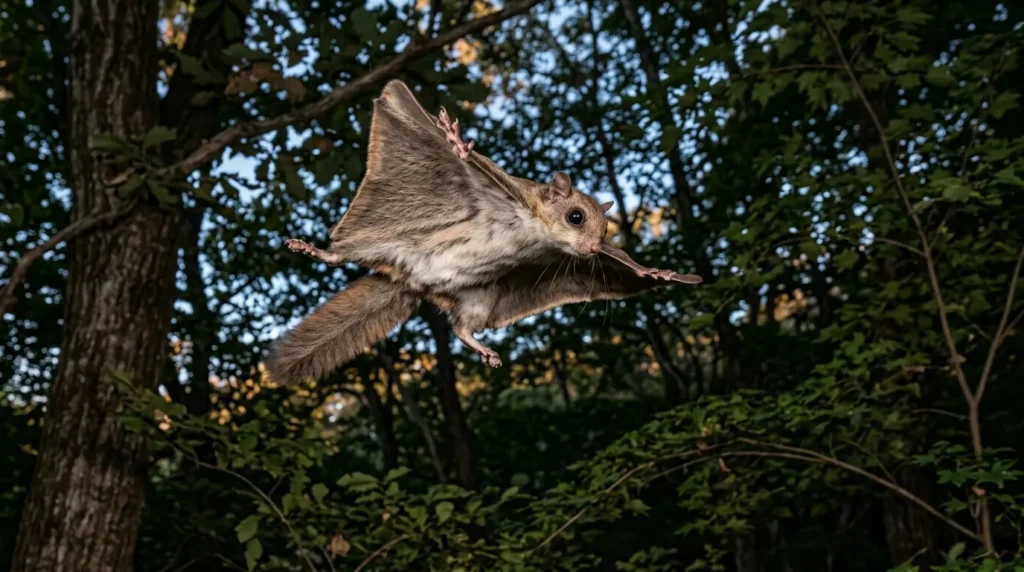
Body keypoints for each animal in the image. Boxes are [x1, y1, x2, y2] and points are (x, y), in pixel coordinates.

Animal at [266, 80, 701, 386]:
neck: (536, 229)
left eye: (605, 227)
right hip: (384, 243)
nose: (594, 249)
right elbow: (477, 161)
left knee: (461, 328)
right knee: (340, 254)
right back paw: (312, 248)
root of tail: (411, 283)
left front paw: (655, 272)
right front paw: (457, 142)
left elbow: (626, 263)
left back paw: (483, 349)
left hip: (479, 297)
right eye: (576, 217)